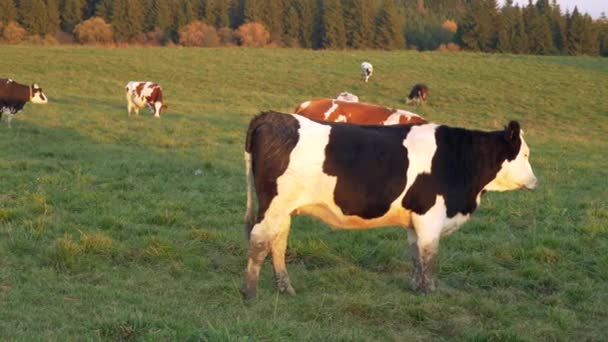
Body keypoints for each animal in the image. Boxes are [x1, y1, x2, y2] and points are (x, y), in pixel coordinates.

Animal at [242, 112, 536, 300]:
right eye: (525, 154)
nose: (536, 181)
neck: (460, 158)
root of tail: (274, 116)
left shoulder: (415, 219)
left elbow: (416, 255)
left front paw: (416, 287)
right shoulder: (430, 216)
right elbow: (429, 256)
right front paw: (429, 292)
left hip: (282, 210)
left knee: (277, 242)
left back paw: (285, 288)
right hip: (273, 206)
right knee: (259, 240)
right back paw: (250, 293)